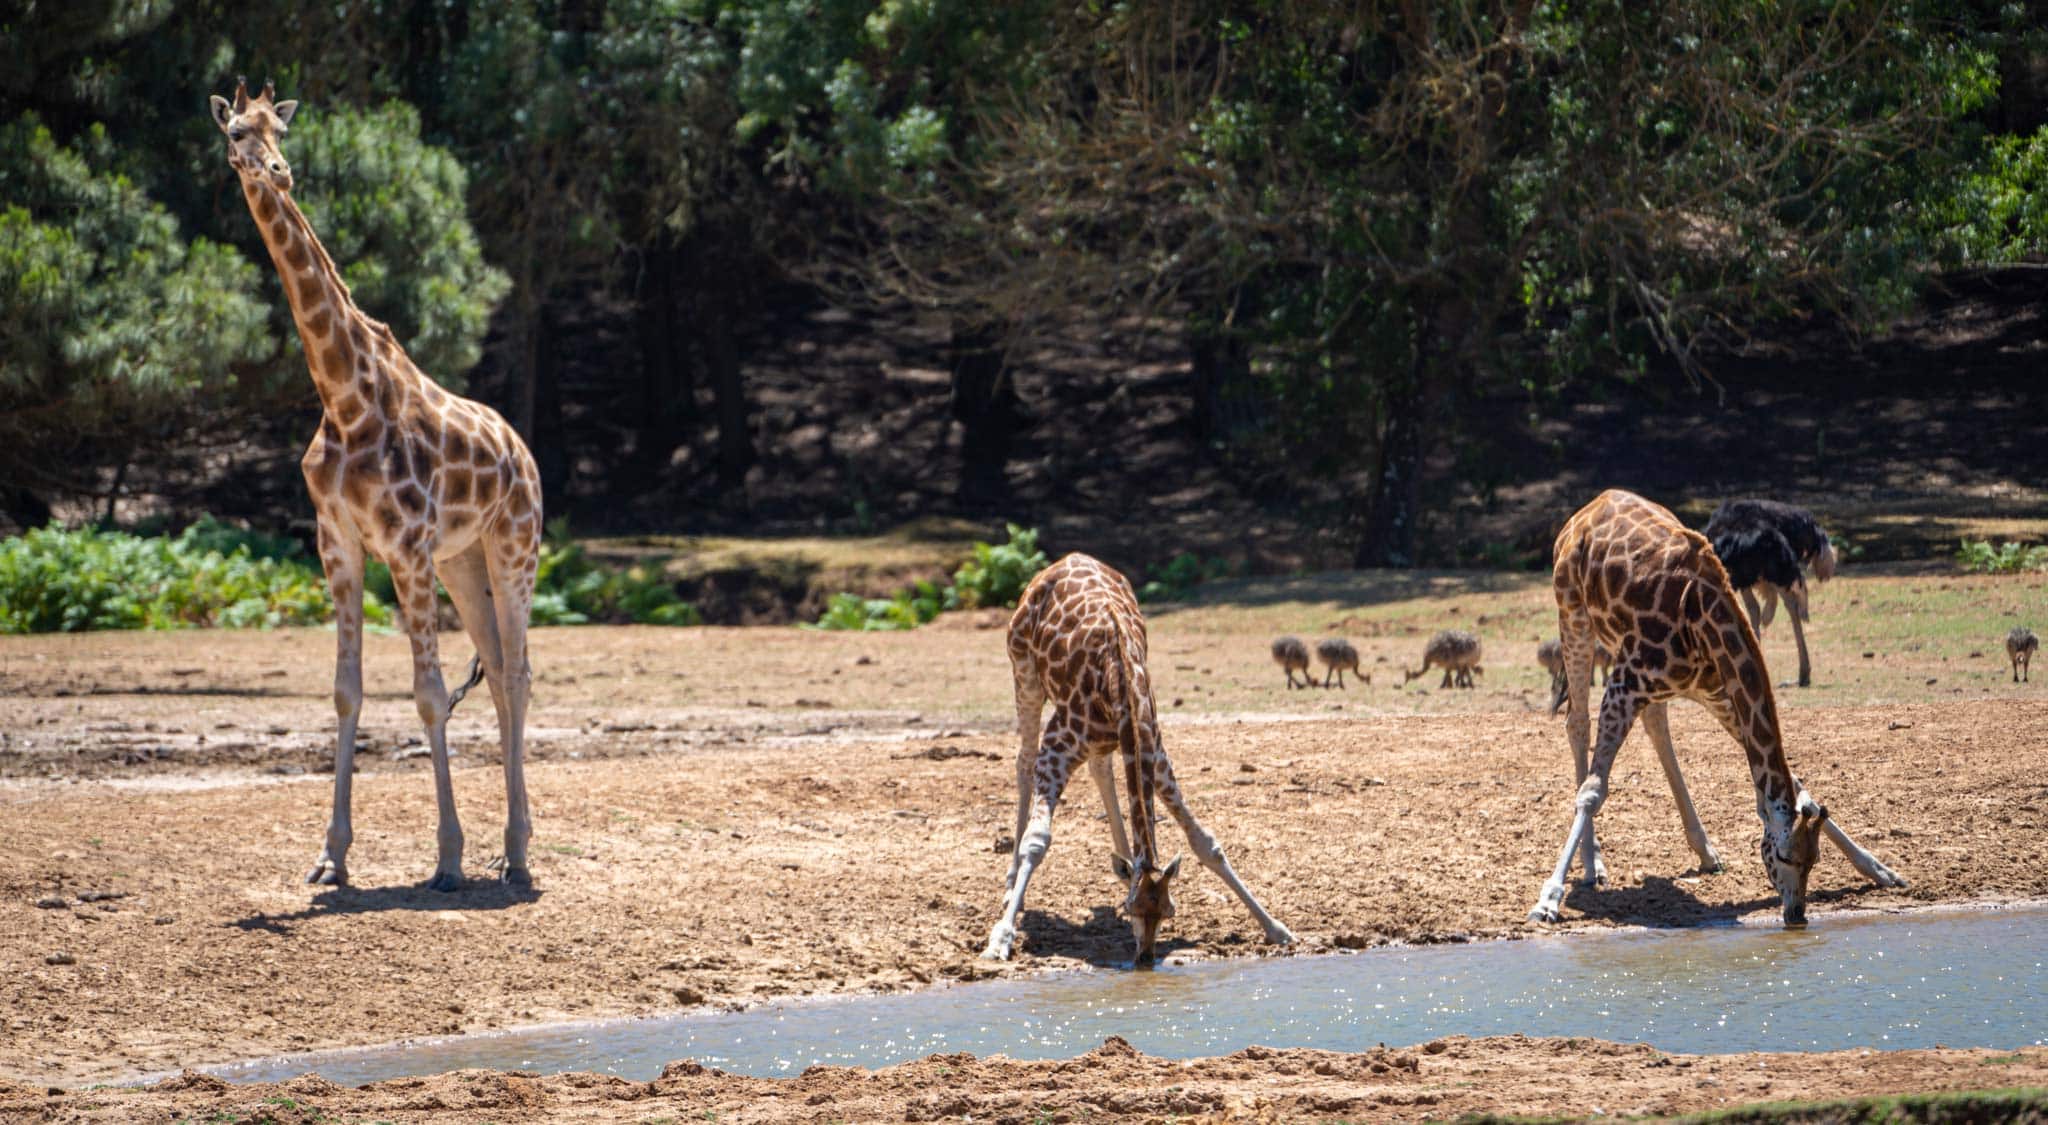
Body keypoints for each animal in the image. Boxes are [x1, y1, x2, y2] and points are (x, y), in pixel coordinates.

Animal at [211, 80, 540, 885]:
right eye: (236, 131)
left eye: (280, 130)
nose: (278, 171)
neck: (344, 398)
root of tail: (523, 451)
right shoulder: (340, 543)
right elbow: (346, 692)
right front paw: (330, 856)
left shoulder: (406, 548)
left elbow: (427, 696)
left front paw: (448, 855)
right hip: (464, 561)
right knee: (498, 674)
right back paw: (511, 846)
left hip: (514, 549)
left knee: (518, 673)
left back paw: (517, 854)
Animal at [983, 557, 1286, 959]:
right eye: (1133, 910)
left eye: (1169, 910)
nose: (1145, 957)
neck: (1119, 681)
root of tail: (1062, 561)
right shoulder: (1057, 746)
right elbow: (1037, 840)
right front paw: (1000, 937)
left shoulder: (1155, 751)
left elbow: (1205, 843)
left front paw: (1275, 927)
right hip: (1024, 675)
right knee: (1022, 761)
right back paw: (1010, 884)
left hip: (1102, 739)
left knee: (1100, 768)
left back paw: (1121, 860)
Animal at [1540, 489, 1900, 922]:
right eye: (1784, 856)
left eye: (1814, 859)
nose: (1796, 913)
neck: (1702, 619)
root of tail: (1587, 509)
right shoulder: (1626, 682)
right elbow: (1593, 791)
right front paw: (1548, 898)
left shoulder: (1716, 692)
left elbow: (1798, 784)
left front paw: (1879, 868)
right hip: (1575, 620)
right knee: (1577, 724)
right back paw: (1593, 866)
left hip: (1657, 677)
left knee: (1656, 724)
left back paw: (1705, 851)